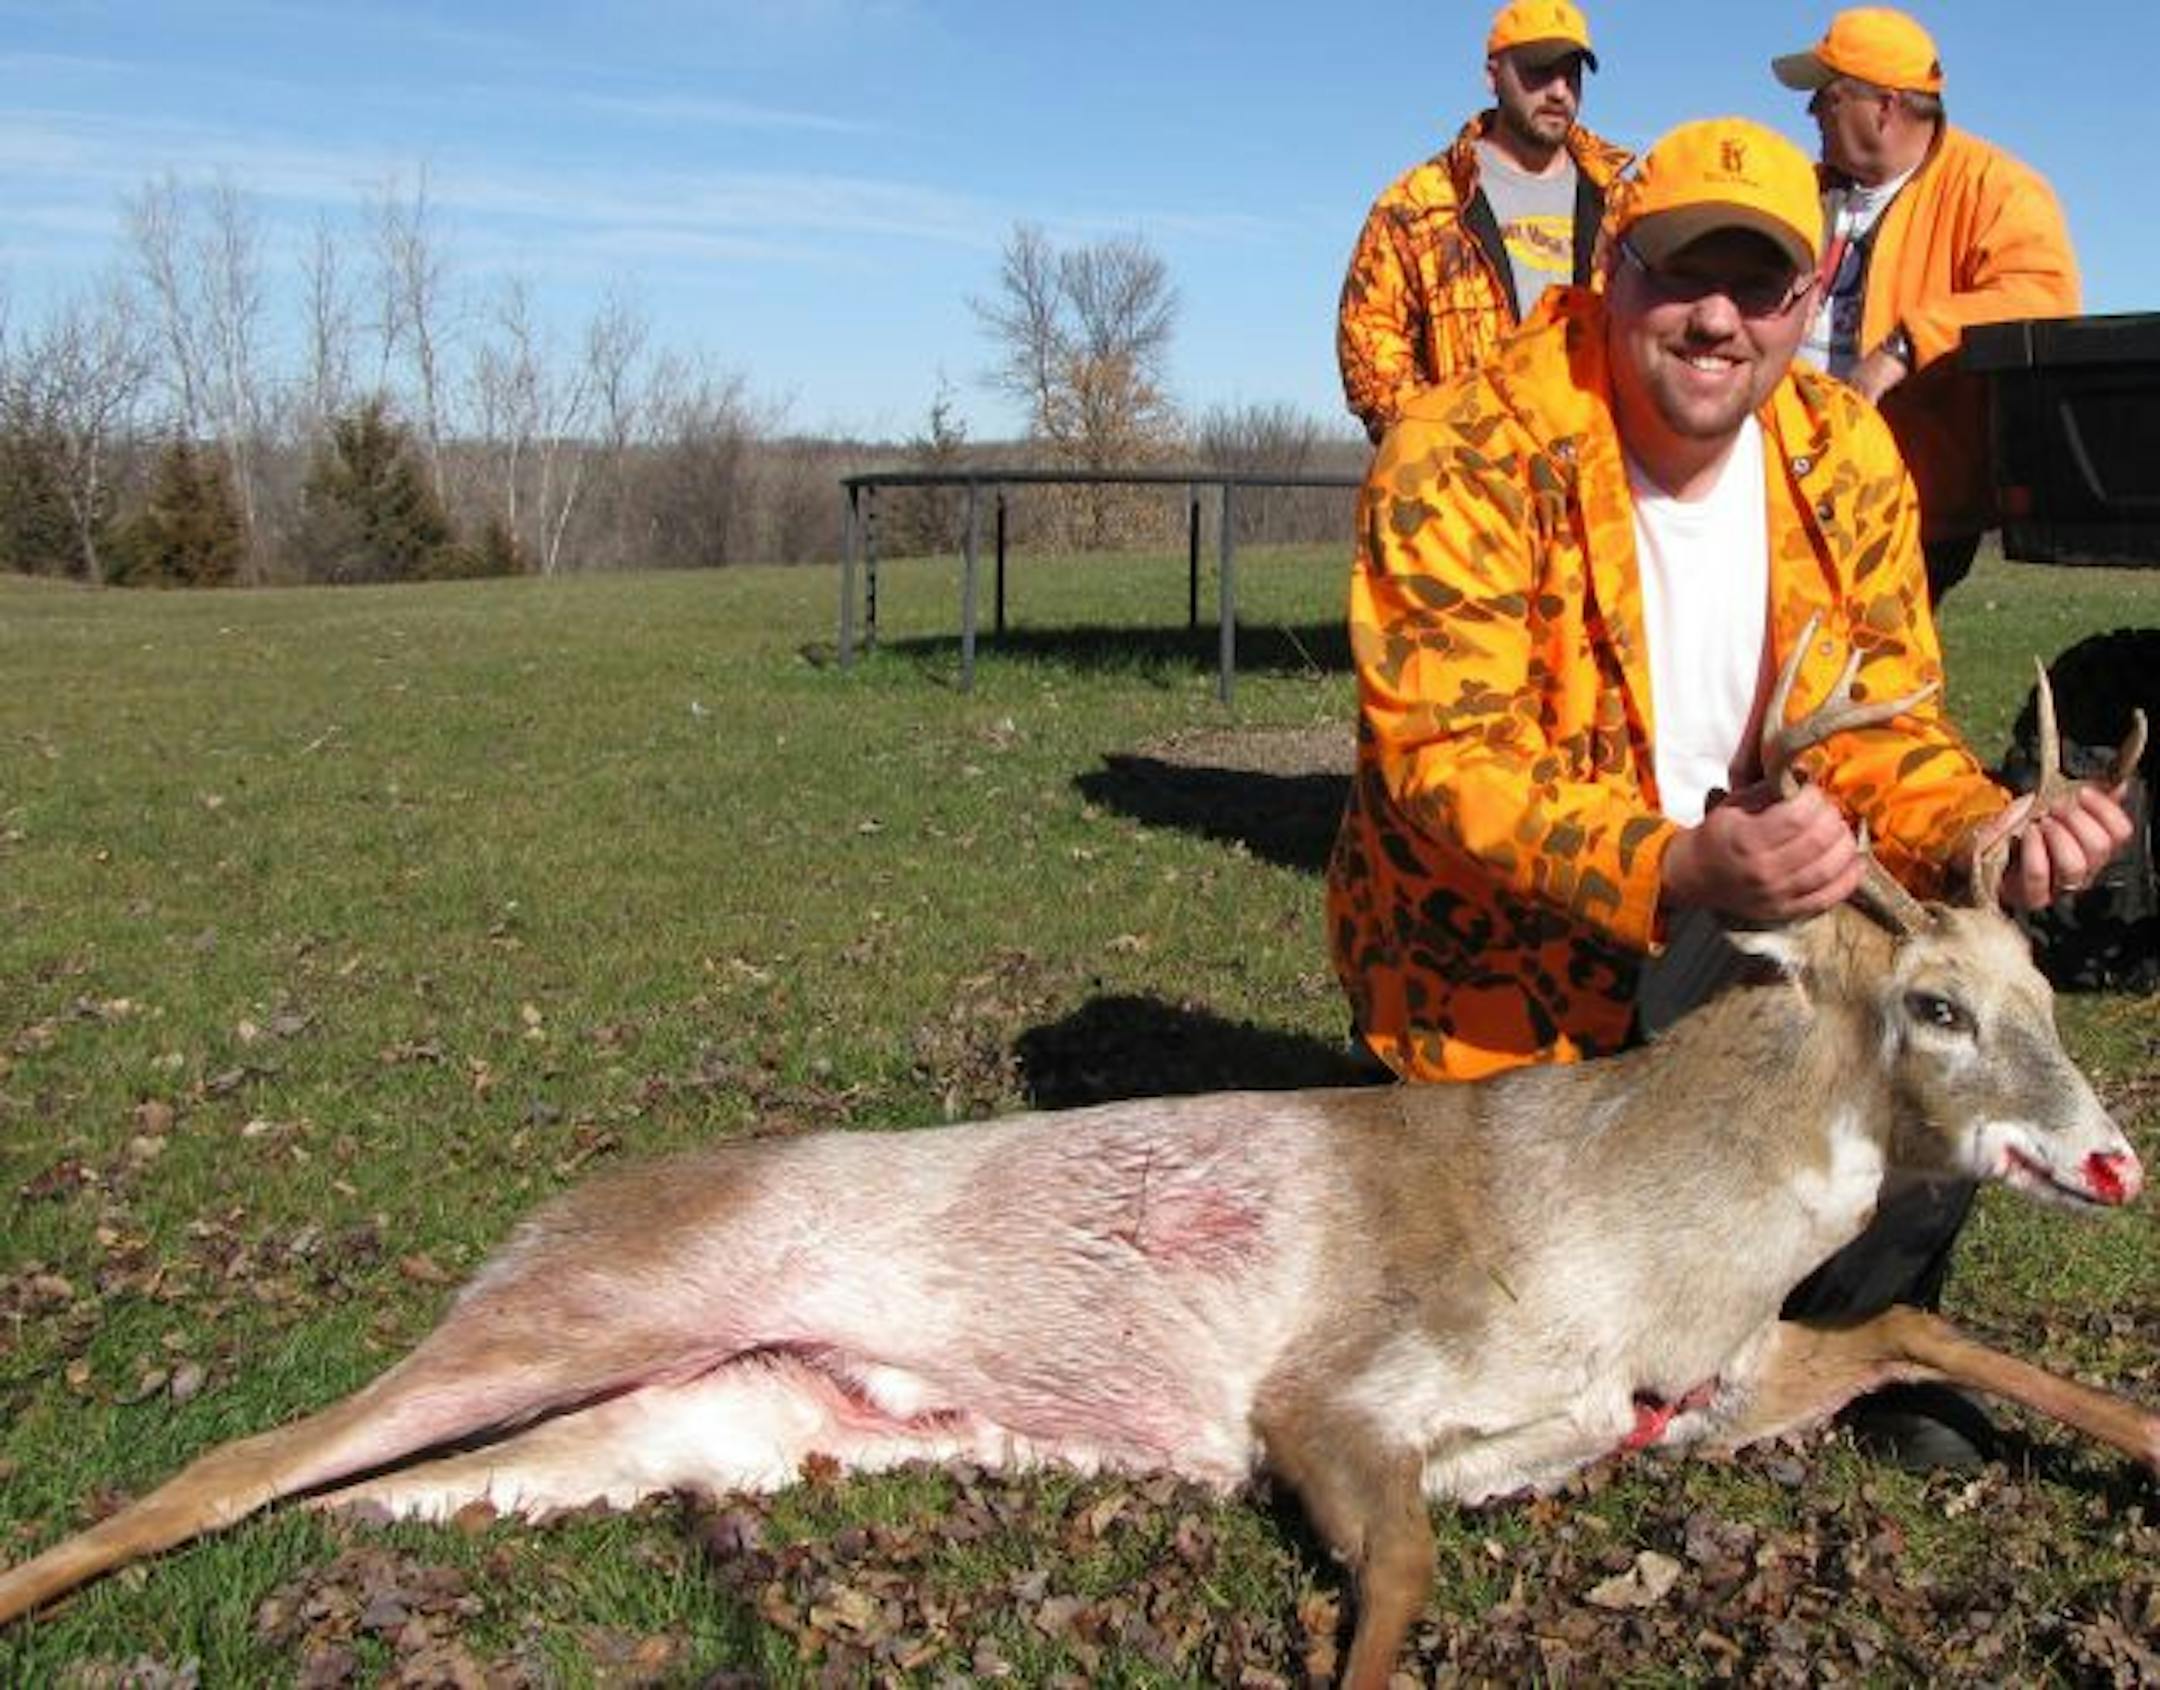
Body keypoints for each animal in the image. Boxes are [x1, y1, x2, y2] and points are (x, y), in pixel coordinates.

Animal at [0, 633, 2152, 1690]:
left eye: (2056, 981)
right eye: (1932, 1006)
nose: (2115, 1161)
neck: (1633, 1234)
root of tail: (556, 1204)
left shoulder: (1705, 1395)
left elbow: (1936, 1344)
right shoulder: (1330, 1392)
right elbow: (1394, 1598)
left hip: (701, 1419)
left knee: (359, 1497)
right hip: (575, 1307)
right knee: (228, 1460)